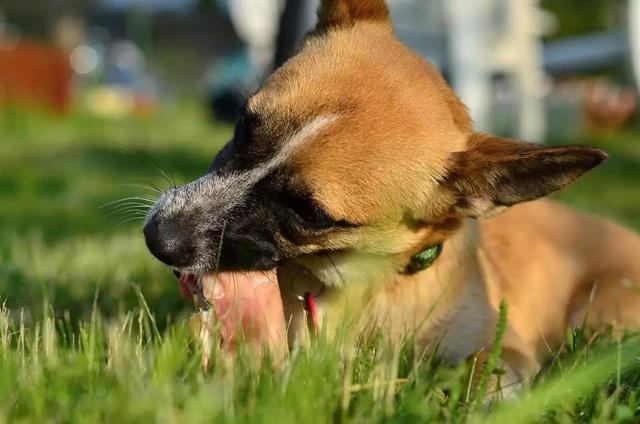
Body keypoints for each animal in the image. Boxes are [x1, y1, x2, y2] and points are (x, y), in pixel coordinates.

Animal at [144, 0, 640, 382]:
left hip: (598, 315)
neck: (362, 286)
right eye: (245, 125)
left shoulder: (502, 349)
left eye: (311, 214)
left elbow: (486, 370)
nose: (157, 238)